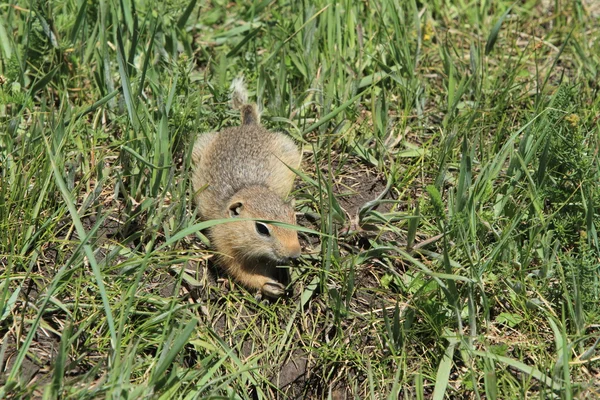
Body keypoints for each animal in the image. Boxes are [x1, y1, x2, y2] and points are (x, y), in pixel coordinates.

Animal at [192, 79, 302, 296]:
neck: (248, 188)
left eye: (293, 219)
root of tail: (247, 125)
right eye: (261, 228)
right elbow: (238, 270)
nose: (294, 253)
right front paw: (269, 285)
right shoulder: (222, 242)